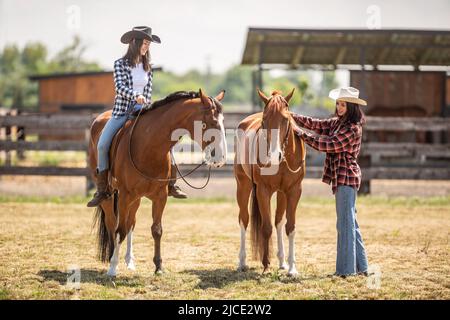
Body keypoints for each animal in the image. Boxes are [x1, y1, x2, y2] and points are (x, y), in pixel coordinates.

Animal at [89, 89, 227, 276]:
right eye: (212, 122)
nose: (220, 158)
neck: (148, 146)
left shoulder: (160, 196)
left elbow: (156, 230)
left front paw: (159, 267)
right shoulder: (125, 195)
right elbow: (119, 230)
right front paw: (112, 267)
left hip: (136, 199)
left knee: (131, 223)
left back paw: (129, 261)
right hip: (110, 196)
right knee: (112, 223)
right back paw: (112, 257)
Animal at [236, 89, 306, 276]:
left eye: (286, 119)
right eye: (264, 120)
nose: (275, 155)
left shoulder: (293, 191)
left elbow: (290, 227)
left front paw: (292, 268)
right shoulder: (263, 190)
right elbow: (266, 228)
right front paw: (266, 266)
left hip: (281, 193)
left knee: (278, 221)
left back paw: (282, 262)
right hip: (243, 186)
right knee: (244, 219)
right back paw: (242, 262)